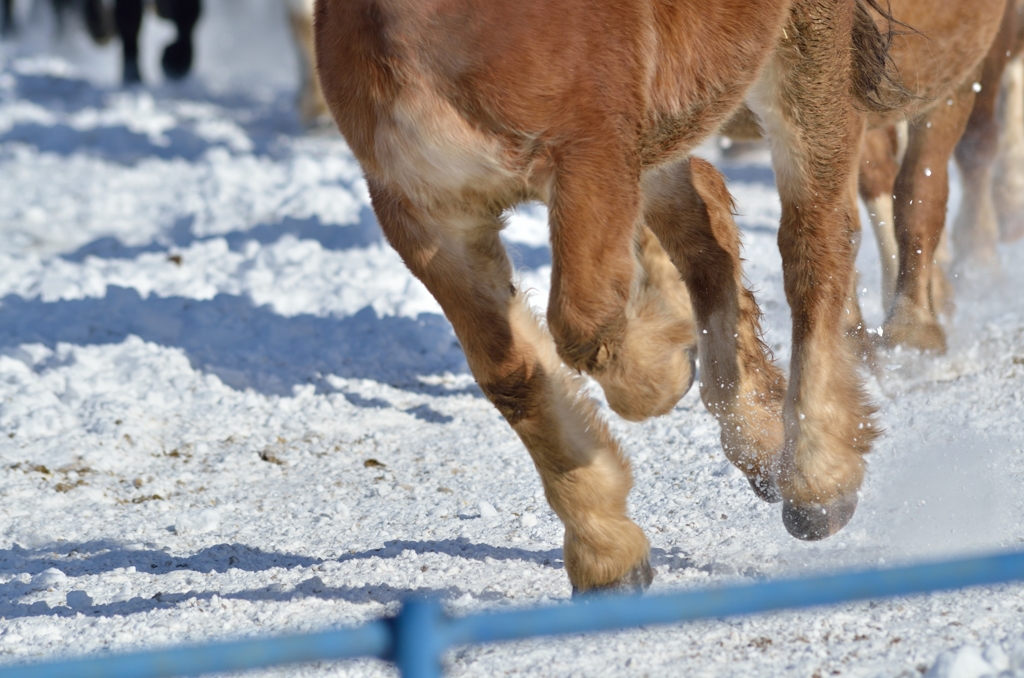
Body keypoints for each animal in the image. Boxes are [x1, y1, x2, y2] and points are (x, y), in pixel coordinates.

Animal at [315, 0, 901, 594]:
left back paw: (817, 484)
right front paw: (607, 554)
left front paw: (664, 363)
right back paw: (758, 438)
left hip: (799, 54)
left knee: (815, 243)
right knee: (707, 219)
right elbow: (513, 377)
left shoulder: (592, 159)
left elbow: (584, 325)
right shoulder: (426, 217)